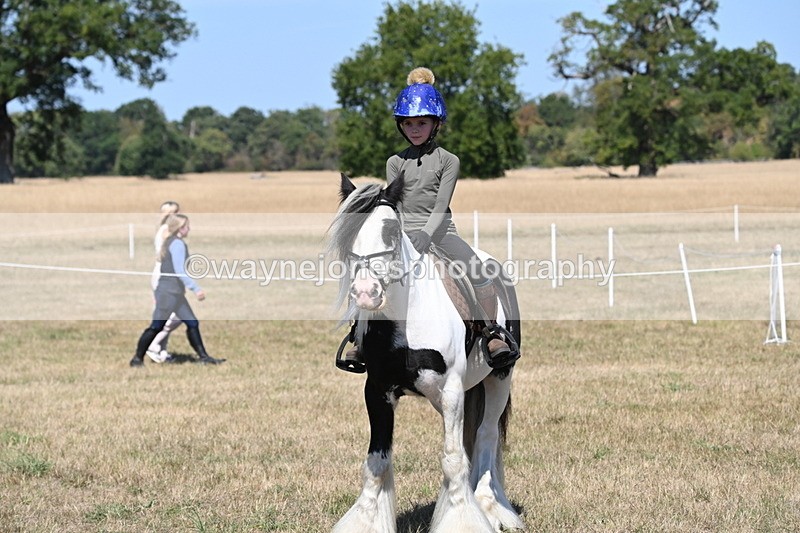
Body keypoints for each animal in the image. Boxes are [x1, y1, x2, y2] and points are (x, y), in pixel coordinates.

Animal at [327, 174, 525, 533]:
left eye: (392, 230)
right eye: (348, 231)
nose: (365, 293)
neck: (407, 317)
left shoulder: (451, 392)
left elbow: (453, 458)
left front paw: (463, 519)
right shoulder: (377, 390)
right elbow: (377, 461)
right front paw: (366, 520)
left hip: (499, 378)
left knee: (486, 436)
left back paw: (490, 507)